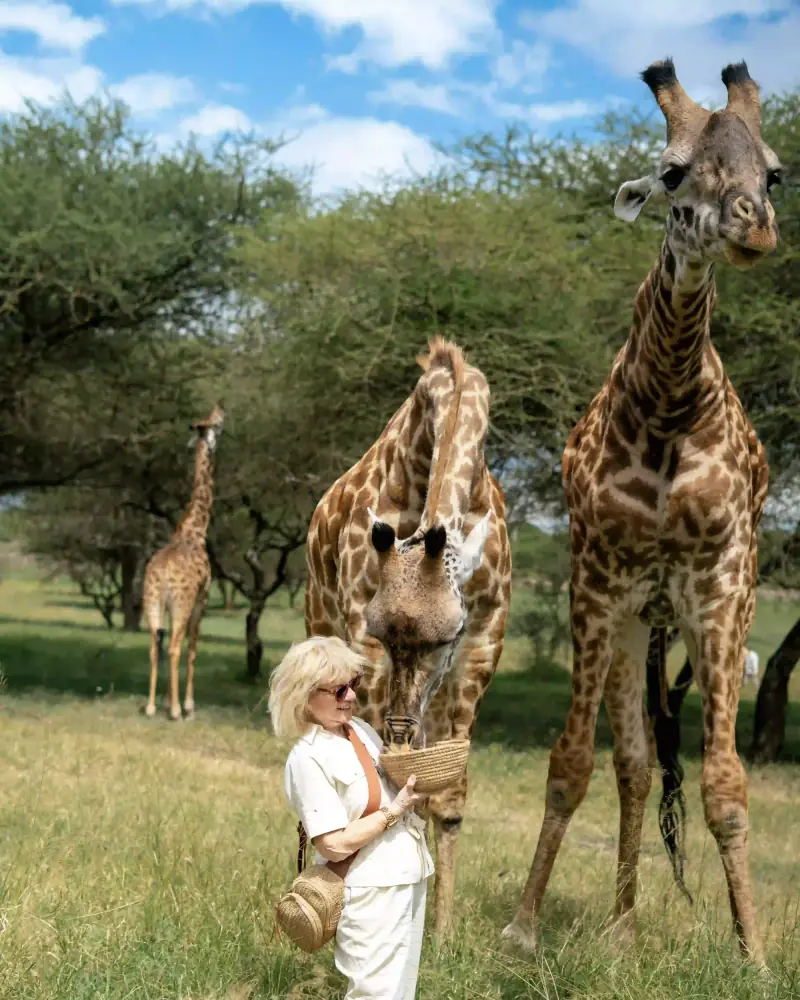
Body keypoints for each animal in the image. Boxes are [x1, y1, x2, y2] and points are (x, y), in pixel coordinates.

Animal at [142, 402, 225, 721]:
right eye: (216, 424)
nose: (221, 410)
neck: (194, 529)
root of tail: (164, 576)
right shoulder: (202, 597)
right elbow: (193, 649)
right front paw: (186, 704)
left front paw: (166, 701)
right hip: (181, 602)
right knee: (176, 647)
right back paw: (177, 711)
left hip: (152, 602)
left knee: (154, 646)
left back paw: (151, 707)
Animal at [305, 337, 512, 937]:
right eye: (385, 633)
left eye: (445, 638)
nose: (402, 729)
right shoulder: (362, 631)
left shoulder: (485, 636)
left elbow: (450, 793)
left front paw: (440, 934)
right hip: (319, 617)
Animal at [503, 60, 780, 965]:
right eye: (672, 171)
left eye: (774, 173)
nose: (756, 228)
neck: (667, 406)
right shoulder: (596, 585)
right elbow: (570, 765)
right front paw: (522, 927)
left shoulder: (724, 590)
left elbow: (725, 784)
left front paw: (754, 953)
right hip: (632, 623)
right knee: (628, 763)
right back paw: (620, 926)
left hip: (672, 616)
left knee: (647, 763)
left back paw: (629, 926)